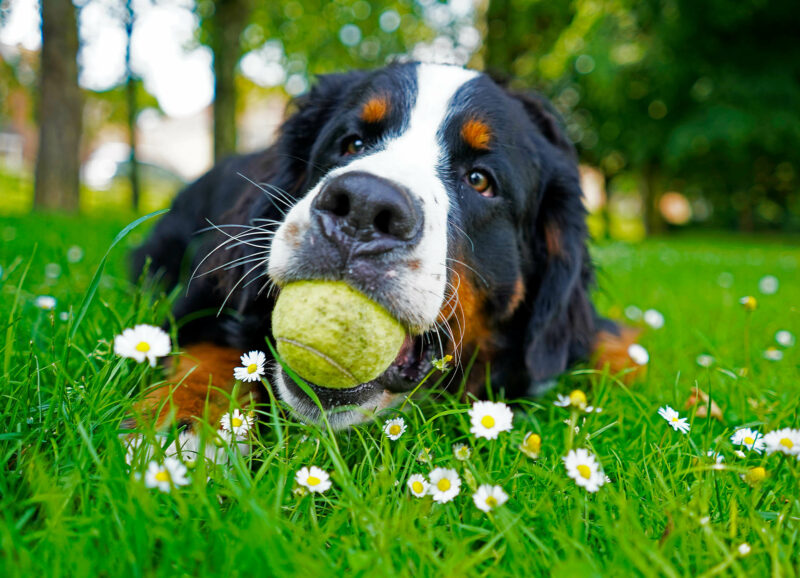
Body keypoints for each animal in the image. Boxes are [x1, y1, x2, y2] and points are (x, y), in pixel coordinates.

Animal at [133, 62, 644, 432]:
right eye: (352, 143)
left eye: (480, 180)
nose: (363, 207)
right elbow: (212, 352)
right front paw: (182, 427)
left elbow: (614, 341)